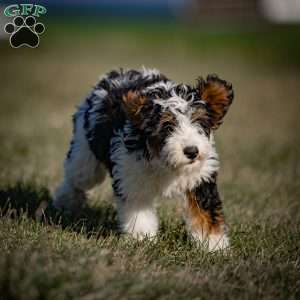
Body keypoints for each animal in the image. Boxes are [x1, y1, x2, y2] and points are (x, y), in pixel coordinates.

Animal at [54, 67, 233, 251]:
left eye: (199, 122)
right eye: (167, 127)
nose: (192, 151)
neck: (164, 161)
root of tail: (116, 74)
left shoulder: (201, 177)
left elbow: (205, 212)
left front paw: (214, 245)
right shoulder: (131, 178)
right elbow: (139, 212)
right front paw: (142, 238)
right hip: (85, 153)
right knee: (77, 178)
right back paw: (65, 202)